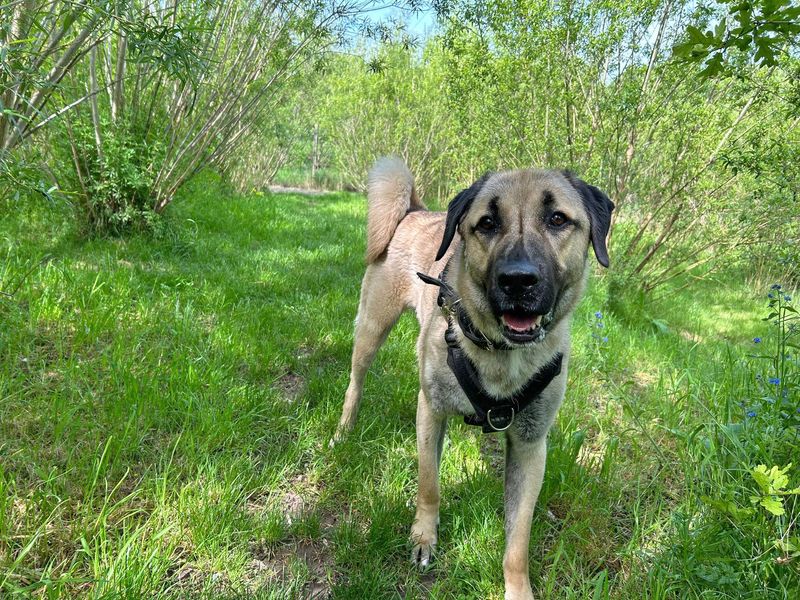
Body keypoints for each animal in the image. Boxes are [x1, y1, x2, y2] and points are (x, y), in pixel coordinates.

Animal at [332, 157, 612, 596]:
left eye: (557, 218)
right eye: (487, 223)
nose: (518, 280)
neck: (501, 353)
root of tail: (413, 210)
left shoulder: (530, 447)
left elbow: (518, 541)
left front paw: (518, 589)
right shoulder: (431, 411)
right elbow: (429, 483)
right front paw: (424, 537)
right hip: (372, 328)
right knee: (355, 382)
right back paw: (344, 429)